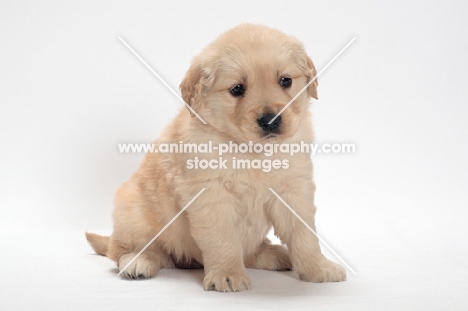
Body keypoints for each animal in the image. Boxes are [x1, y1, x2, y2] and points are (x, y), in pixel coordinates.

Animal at [86, 23, 346, 292]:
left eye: (285, 81)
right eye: (237, 89)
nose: (270, 120)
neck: (252, 151)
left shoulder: (293, 190)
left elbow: (304, 234)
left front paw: (318, 267)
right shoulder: (210, 195)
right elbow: (223, 239)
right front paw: (227, 274)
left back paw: (272, 254)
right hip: (131, 209)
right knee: (124, 250)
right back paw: (137, 261)